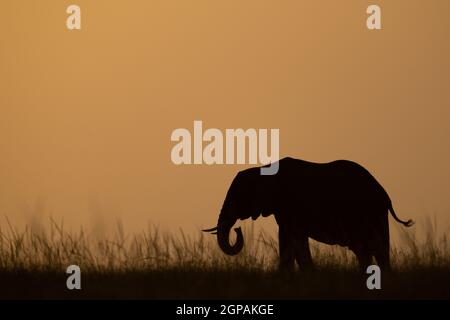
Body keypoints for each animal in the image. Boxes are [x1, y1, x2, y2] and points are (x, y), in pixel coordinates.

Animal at [204, 156, 414, 272]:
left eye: (238, 197)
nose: (237, 229)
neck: (264, 169)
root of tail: (385, 195)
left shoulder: (290, 207)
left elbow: (292, 240)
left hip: (371, 213)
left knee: (376, 249)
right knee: (366, 251)